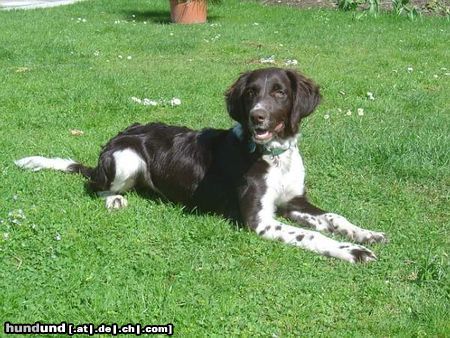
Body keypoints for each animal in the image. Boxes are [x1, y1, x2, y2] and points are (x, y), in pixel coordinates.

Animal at [15, 67, 384, 262]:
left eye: (280, 92)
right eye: (251, 93)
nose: (257, 116)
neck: (274, 155)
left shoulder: (293, 200)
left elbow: (333, 216)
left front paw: (364, 233)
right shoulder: (260, 221)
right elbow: (309, 235)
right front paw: (351, 249)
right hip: (126, 158)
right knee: (96, 186)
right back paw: (115, 199)